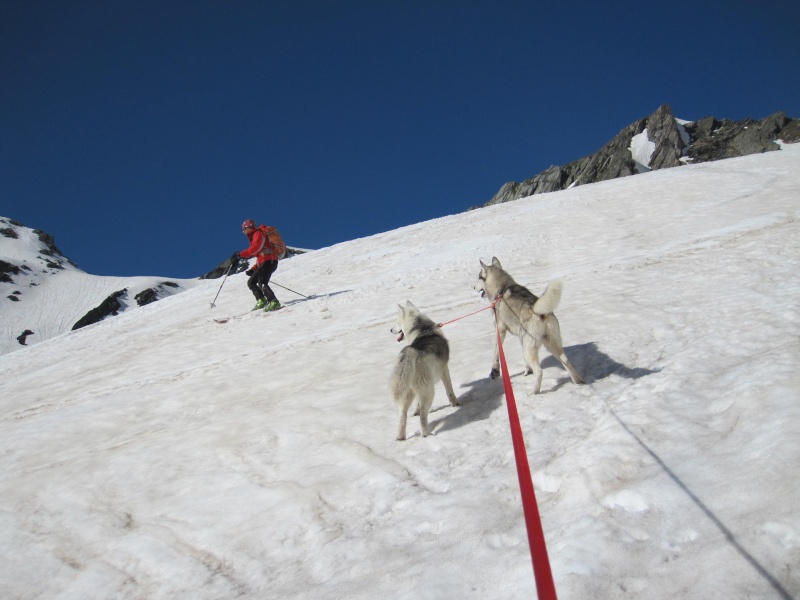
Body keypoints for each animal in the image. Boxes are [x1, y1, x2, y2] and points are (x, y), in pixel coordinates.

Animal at [390, 302, 460, 438]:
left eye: (397, 322)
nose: (390, 330)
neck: (423, 329)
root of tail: (413, 351)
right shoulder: (444, 370)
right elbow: (449, 390)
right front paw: (455, 404)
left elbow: (417, 404)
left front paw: (415, 411)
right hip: (429, 391)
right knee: (423, 415)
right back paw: (426, 434)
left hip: (408, 393)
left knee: (403, 415)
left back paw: (401, 437)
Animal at [476, 258, 580, 394]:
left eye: (478, 277)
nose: (473, 286)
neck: (501, 289)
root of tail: (538, 310)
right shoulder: (521, 337)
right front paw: (527, 371)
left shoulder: (500, 331)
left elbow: (496, 353)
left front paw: (494, 371)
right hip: (550, 344)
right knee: (566, 361)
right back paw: (578, 381)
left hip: (529, 348)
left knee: (539, 371)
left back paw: (533, 392)